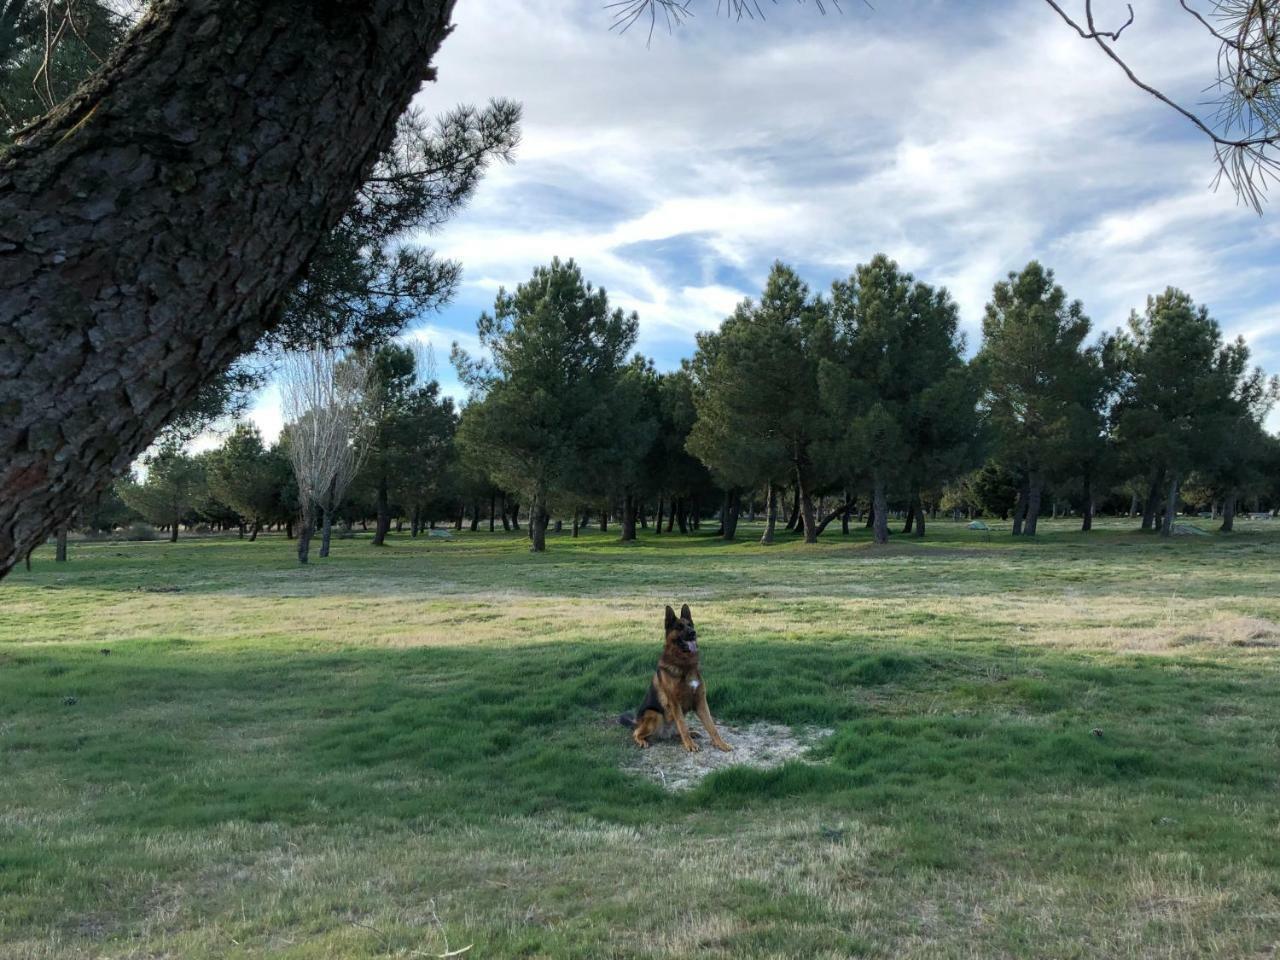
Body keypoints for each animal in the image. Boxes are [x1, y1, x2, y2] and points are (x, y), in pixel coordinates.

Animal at [616, 604, 732, 757]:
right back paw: (642, 740)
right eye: (679, 627)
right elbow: (683, 726)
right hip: (655, 714)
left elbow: (712, 727)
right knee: (636, 732)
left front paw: (721, 744)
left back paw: (692, 733)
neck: (685, 664)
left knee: (679, 732)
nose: (693, 633)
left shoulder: (701, 701)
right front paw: (690, 745)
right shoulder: (675, 703)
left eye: (690, 625)